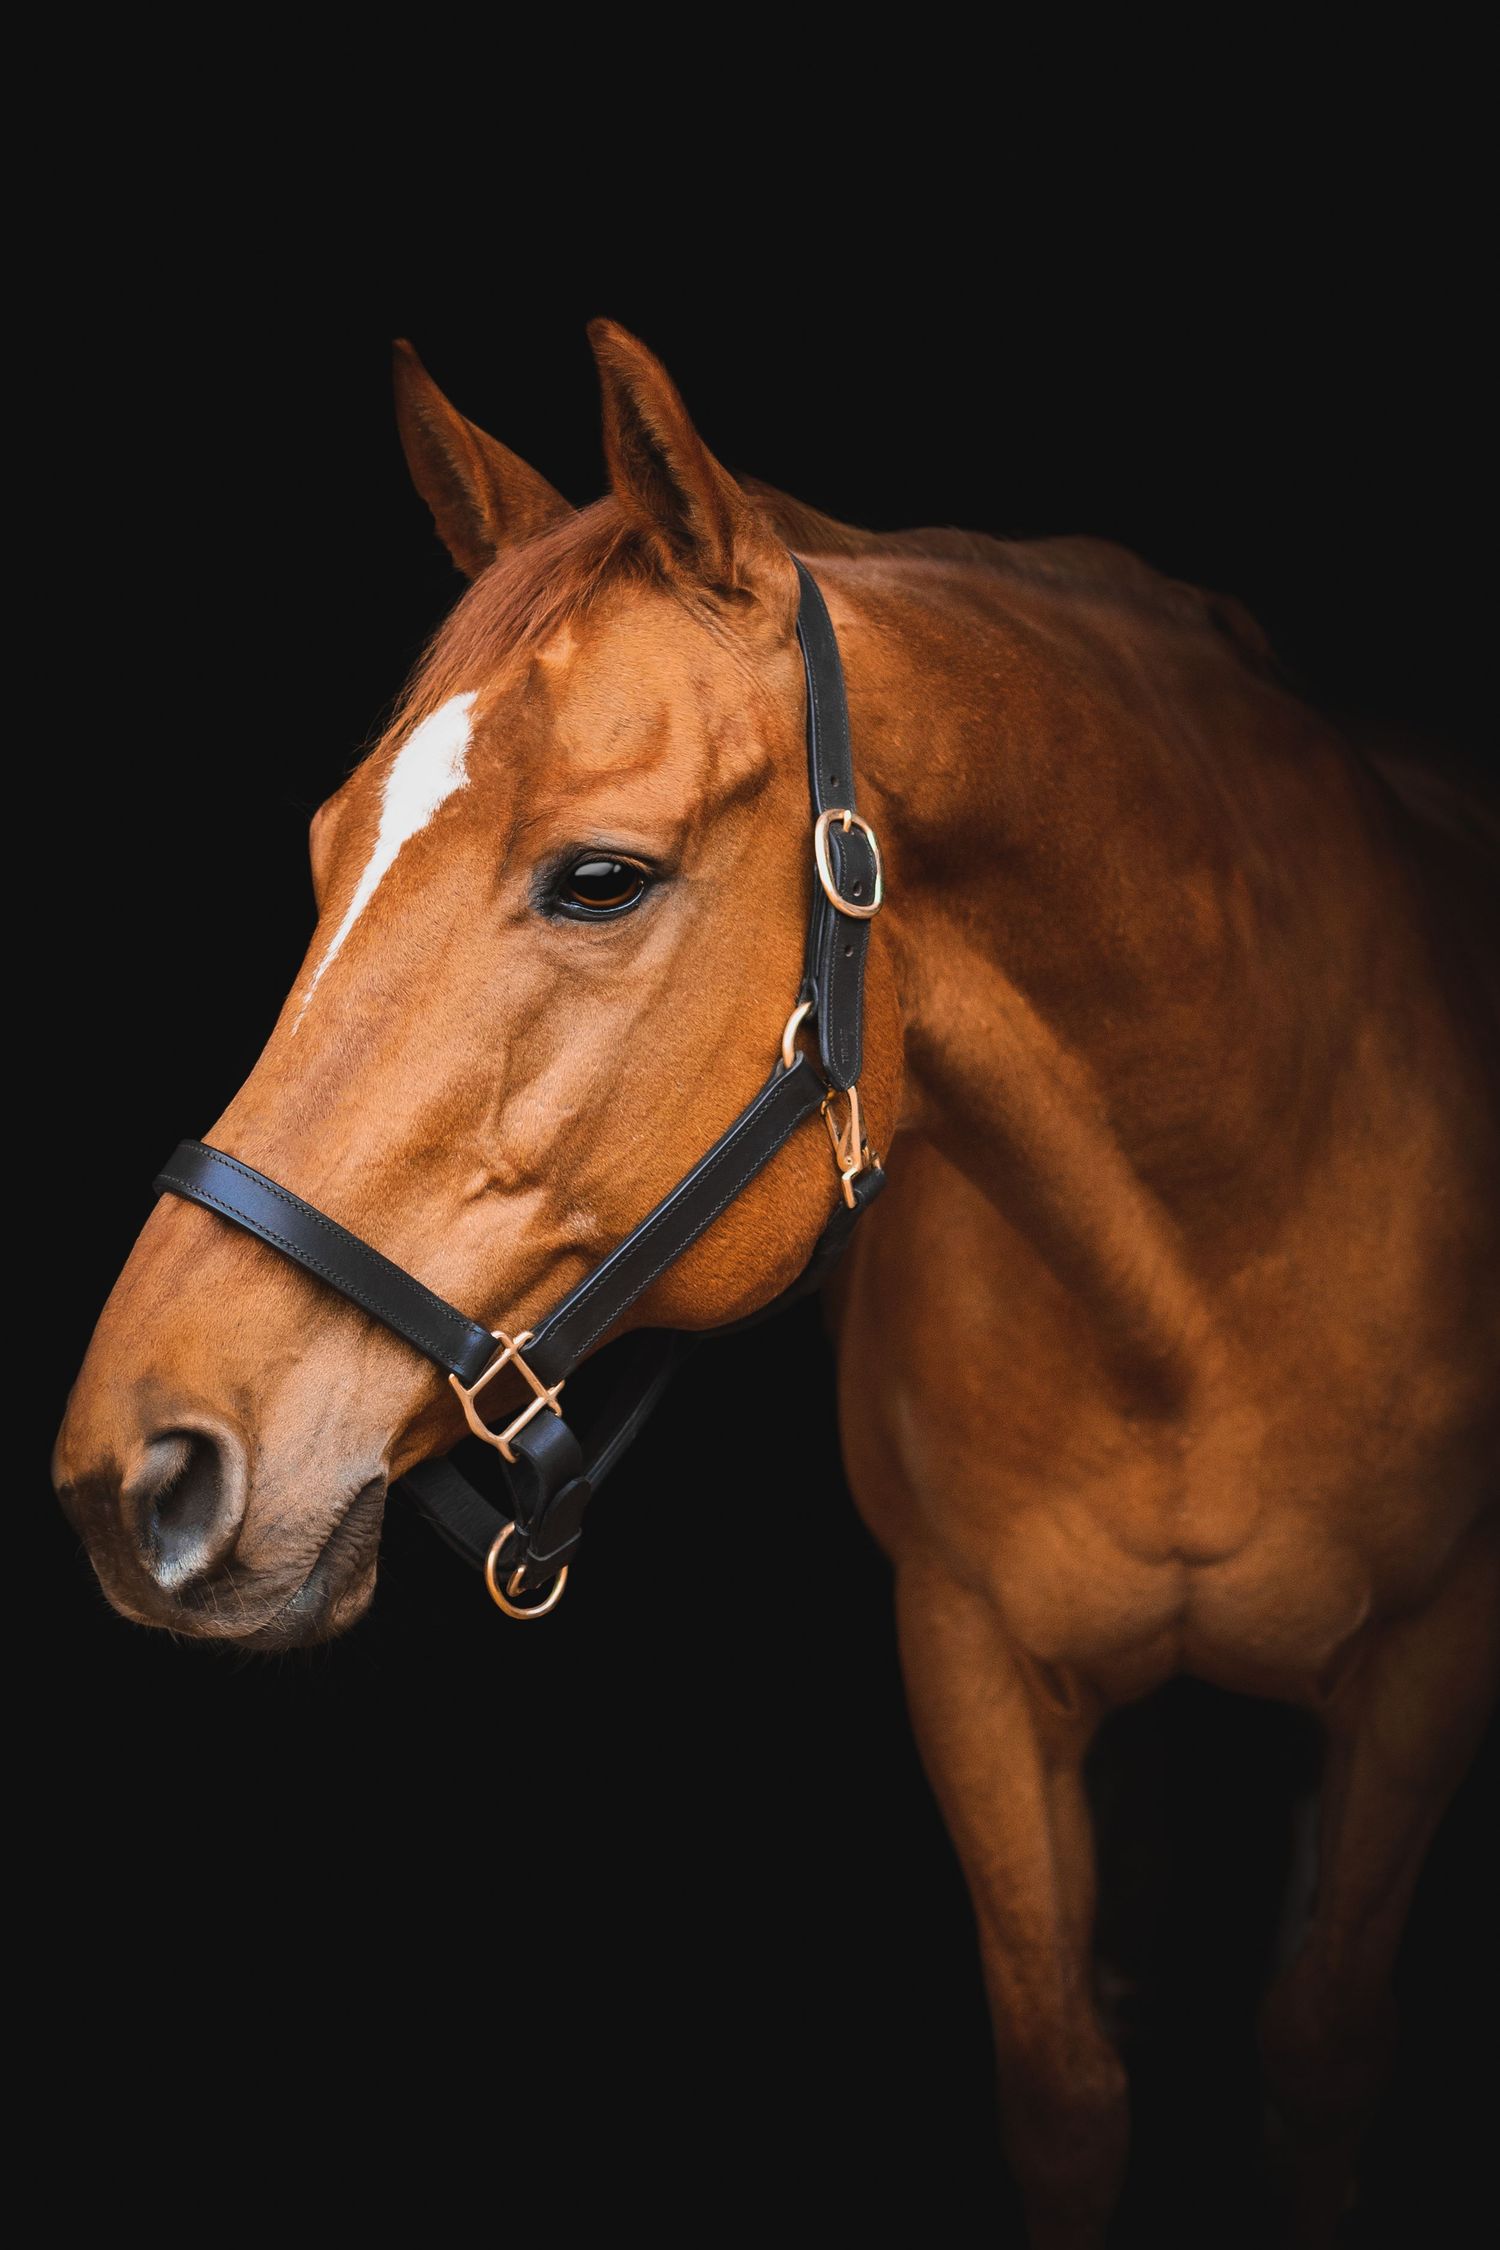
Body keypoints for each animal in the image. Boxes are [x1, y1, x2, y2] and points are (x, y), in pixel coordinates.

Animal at [53, 323, 1499, 2248]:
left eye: (600, 877)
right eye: (322, 852)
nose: (131, 1475)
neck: (1210, 1270)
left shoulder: (1433, 1656)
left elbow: (1322, 2056)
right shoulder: (970, 1658)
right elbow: (1068, 2086)